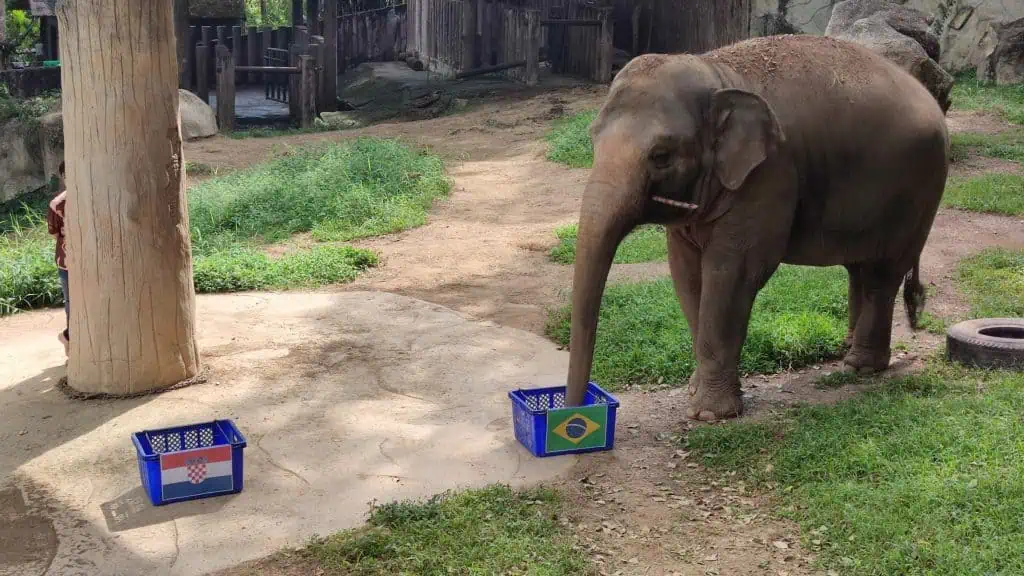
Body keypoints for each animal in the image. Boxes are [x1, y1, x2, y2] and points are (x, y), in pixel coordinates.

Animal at [565, 33, 946, 420]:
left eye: (661, 156)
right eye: (592, 139)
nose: (573, 408)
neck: (715, 71)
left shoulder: (769, 173)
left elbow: (733, 273)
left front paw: (709, 415)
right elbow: (686, 272)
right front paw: (696, 391)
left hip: (917, 187)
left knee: (883, 273)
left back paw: (861, 366)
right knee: (859, 267)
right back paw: (848, 349)